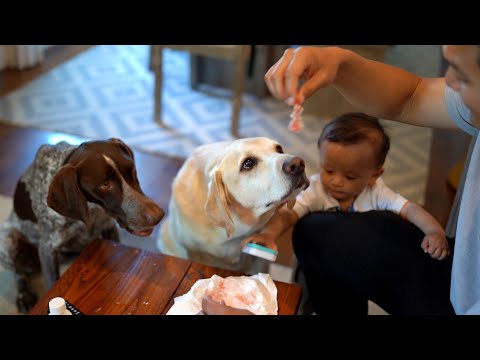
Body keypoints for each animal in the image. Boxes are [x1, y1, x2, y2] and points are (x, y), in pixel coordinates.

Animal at [0, 138, 164, 312]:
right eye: (105, 184)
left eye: (132, 171)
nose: (158, 215)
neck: (92, 208)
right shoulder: (47, 249)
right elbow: (52, 283)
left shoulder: (109, 229)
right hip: (7, 240)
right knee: (19, 272)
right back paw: (24, 295)